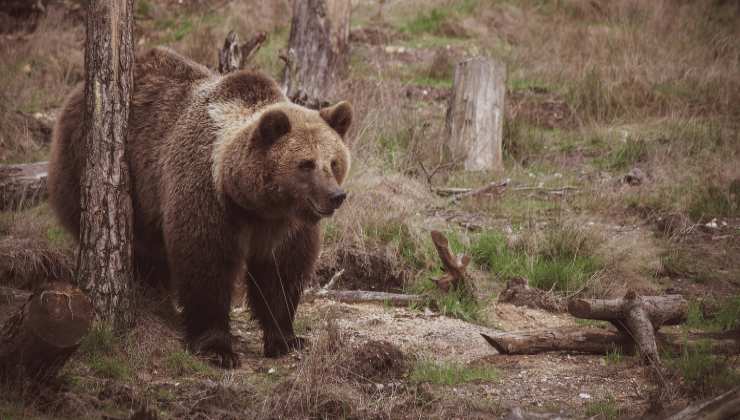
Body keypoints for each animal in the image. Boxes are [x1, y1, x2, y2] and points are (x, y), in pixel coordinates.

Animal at [48, 46, 352, 368]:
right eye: (306, 164)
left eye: (333, 162)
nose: (335, 195)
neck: (254, 203)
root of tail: (76, 93)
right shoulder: (207, 196)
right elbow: (205, 264)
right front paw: (217, 348)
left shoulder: (287, 225)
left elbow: (281, 273)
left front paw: (285, 338)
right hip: (94, 168)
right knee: (141, 249)